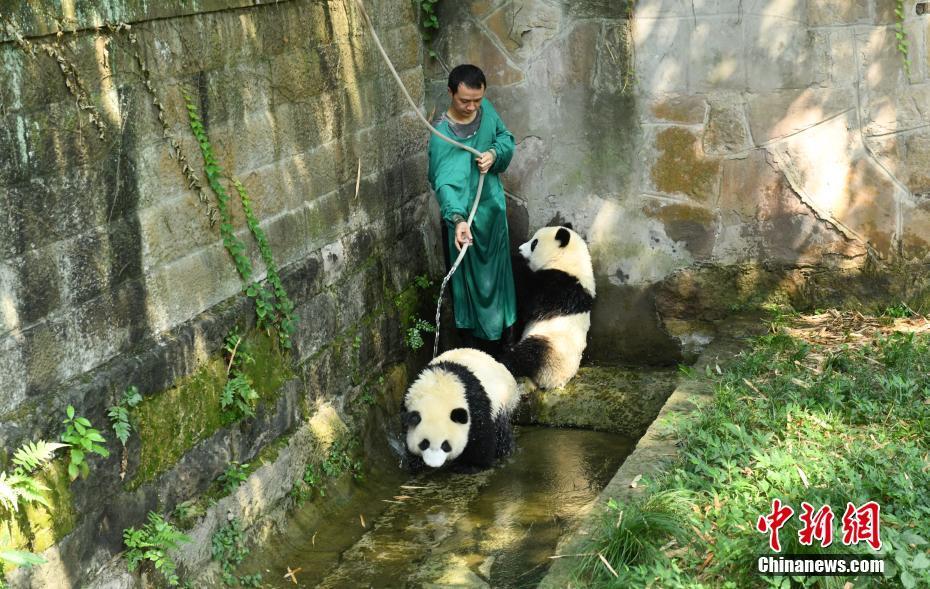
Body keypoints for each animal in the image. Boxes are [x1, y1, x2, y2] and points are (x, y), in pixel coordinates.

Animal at [500, 225, 596, 390]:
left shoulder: (560, 288)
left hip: (551, 347)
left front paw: (514, 261)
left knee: (528, 356)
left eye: (534, 243)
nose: (519, 249)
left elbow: (531, 301)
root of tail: (555, 382)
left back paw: (503, 361)